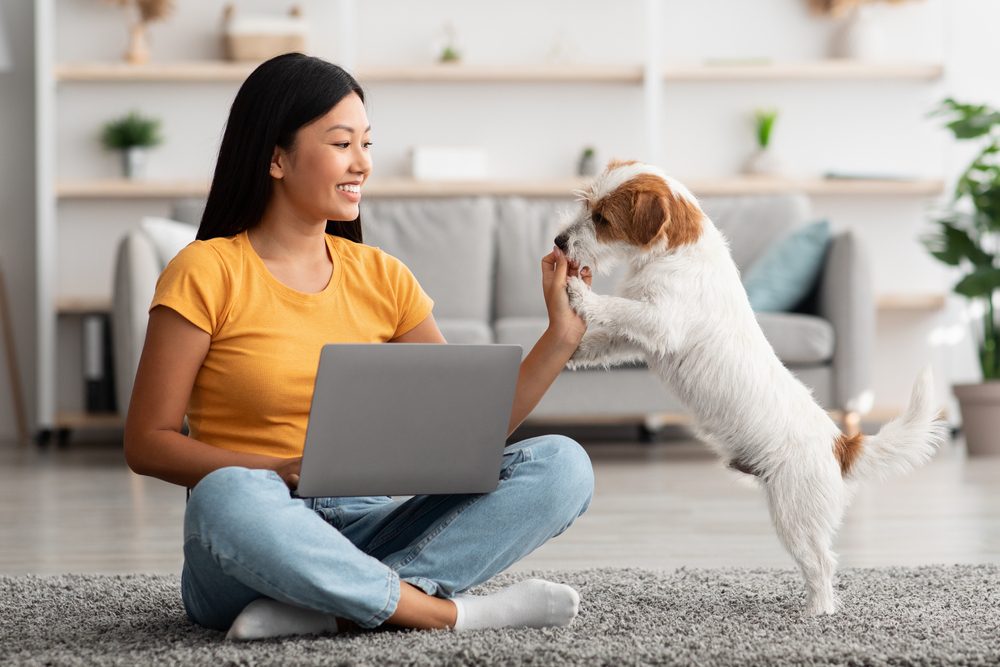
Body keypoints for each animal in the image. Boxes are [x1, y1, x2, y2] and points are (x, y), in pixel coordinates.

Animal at [560, 160, 948, 616]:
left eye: (602, 219)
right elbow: (605, 339)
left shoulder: (660, 321)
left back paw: (817, 612)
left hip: (795, 515)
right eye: (586, 205)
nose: (559, 241)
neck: (675, 253)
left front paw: (579, 293)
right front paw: (571, 351)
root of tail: (840, 444)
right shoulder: (637, 339)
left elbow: (615, 307)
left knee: (822, 564)